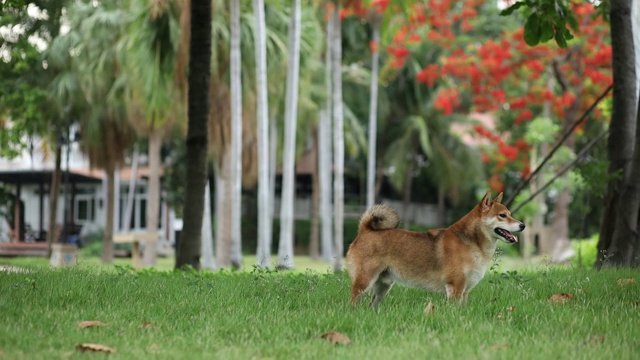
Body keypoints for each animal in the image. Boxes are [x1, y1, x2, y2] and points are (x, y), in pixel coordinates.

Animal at [344, 190, 524, 306]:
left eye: (509, 214)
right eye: (502, 215)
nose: (523, 225)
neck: (472, 243)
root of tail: (365, 230)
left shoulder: (465, 291)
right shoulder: (455, 287)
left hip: (382, 285)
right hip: (364, 282)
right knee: (353, 302)